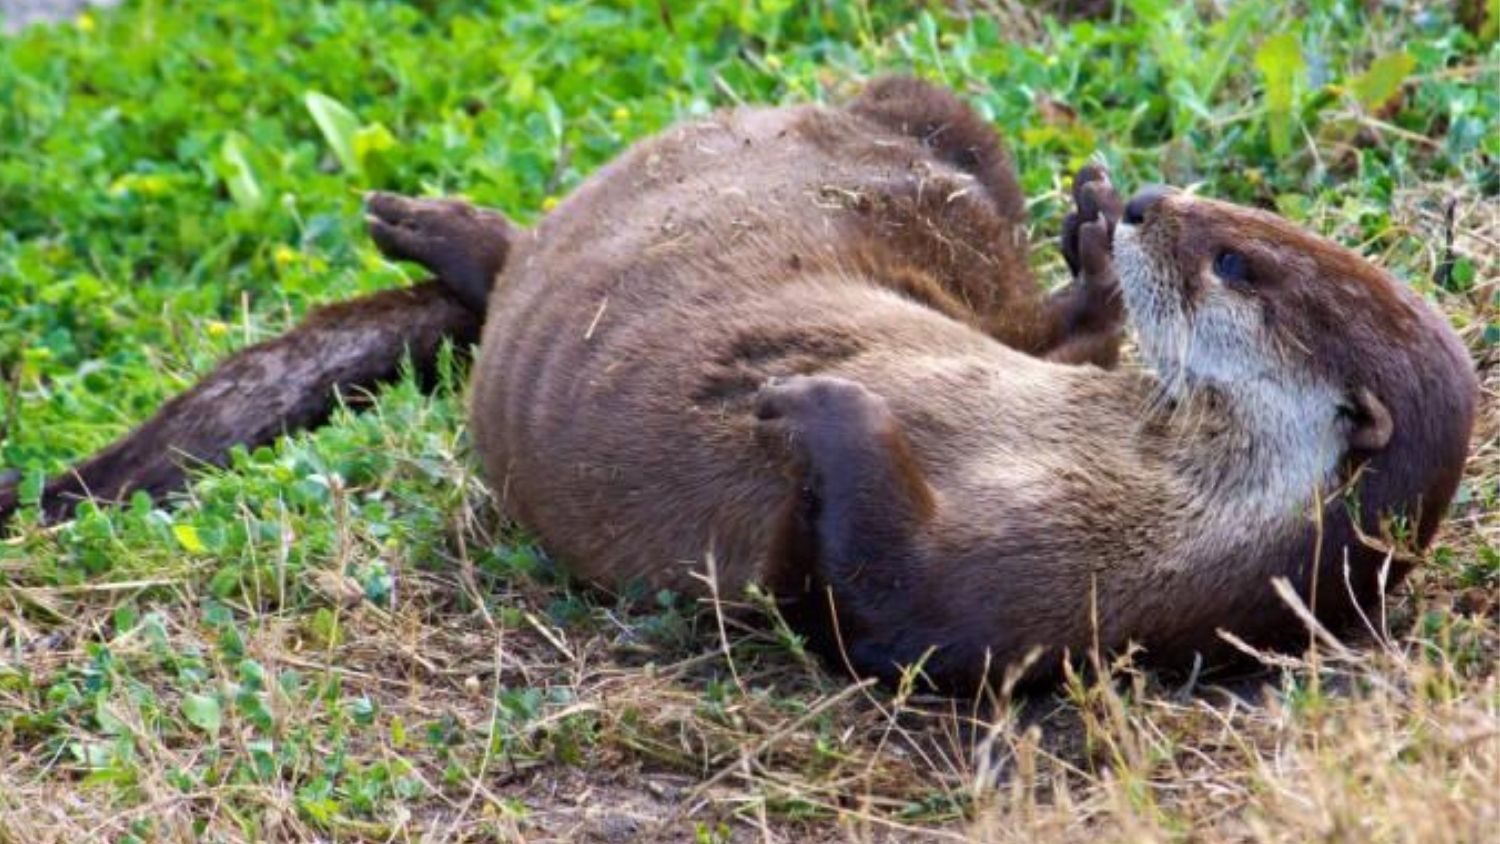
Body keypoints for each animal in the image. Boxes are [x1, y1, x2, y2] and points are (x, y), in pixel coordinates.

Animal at [2, 76, 1476, 689]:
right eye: (1249, 222)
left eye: (1232, 262)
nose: (1159, 203)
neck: (1126, 482)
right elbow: (1073, 339)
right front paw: (1094, 224)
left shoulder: (1019, 606)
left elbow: (879, 605)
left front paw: (812, 402)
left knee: (507, 270)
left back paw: (426, 225)